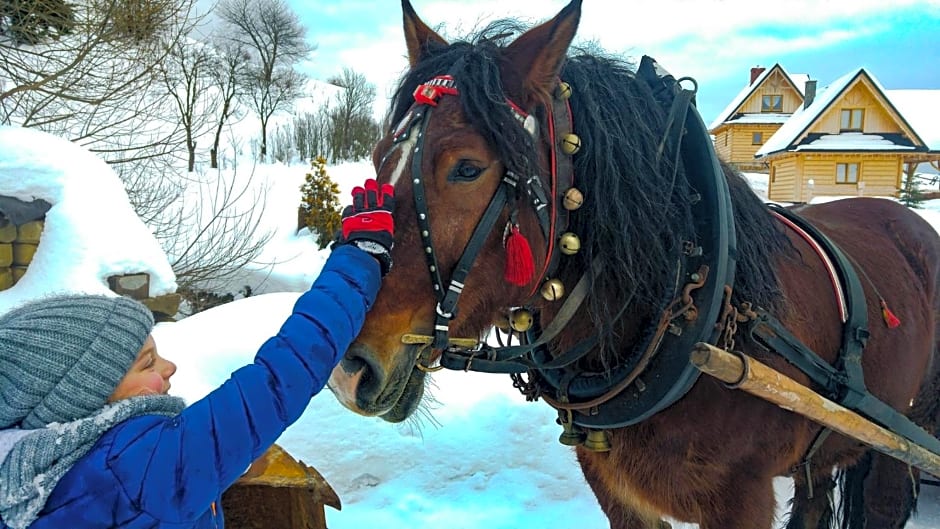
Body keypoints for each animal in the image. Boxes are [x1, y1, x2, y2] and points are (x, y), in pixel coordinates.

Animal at [326, 2, 940, 524]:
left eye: (468, 168)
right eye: (380, 156)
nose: (346, 371)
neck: (689, 309)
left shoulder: (743, 501)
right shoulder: (614, 487)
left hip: (897, 440)